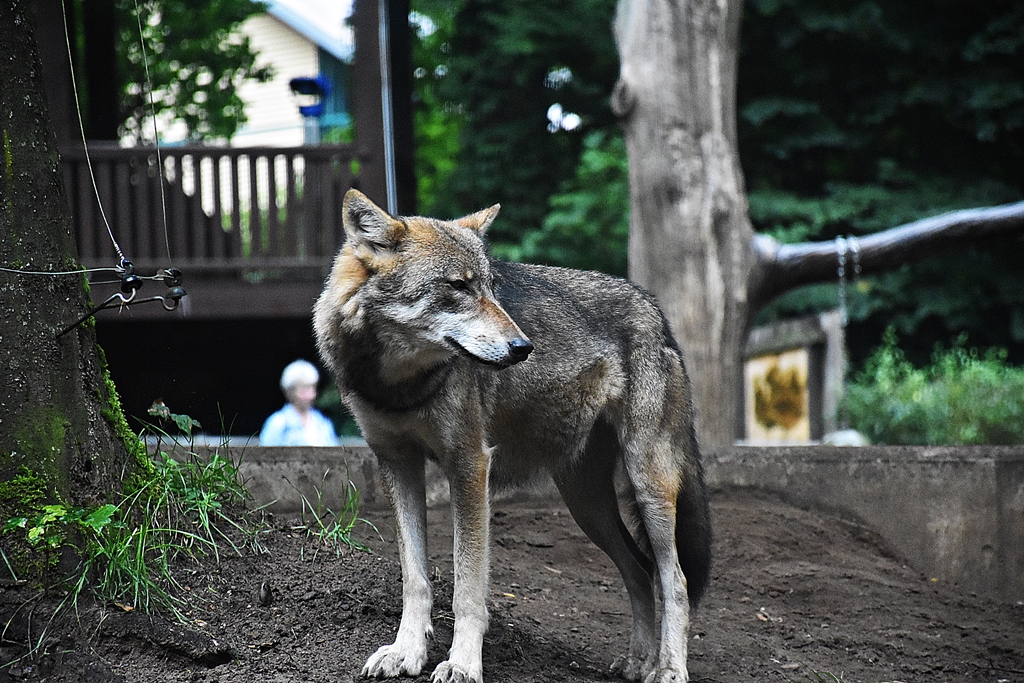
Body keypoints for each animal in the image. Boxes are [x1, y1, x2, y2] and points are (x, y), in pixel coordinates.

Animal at [313, 189, 712, 683]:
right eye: (459, 287)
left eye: (491, 287)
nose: (523, 348)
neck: (399, 385)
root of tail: (655, 309)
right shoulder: (397, 462)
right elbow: (415, 578)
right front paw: (406, 652)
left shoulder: (470, 464)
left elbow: (467, 586)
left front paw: (462, 663)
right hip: (587, 504)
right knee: (640, 570)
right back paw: (639, 661)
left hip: (647, 484)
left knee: (674, 580)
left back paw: (668, 669)